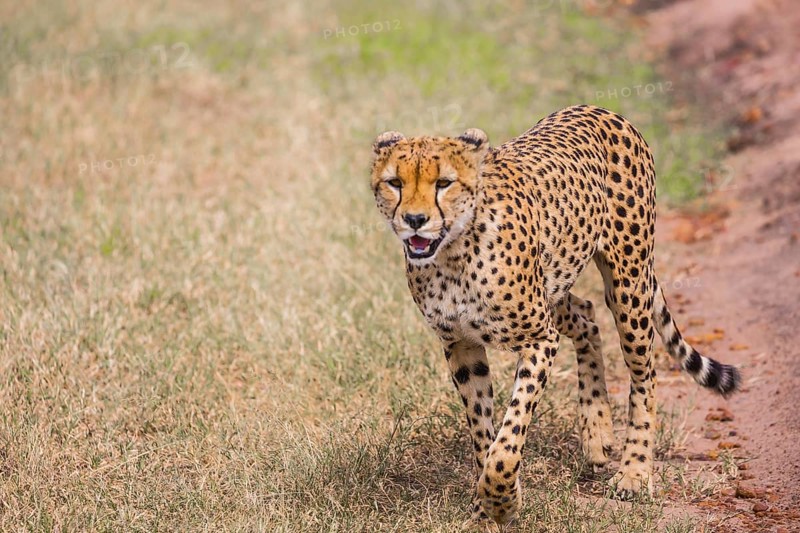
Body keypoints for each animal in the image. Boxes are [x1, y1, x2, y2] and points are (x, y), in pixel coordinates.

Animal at [369, 104, 741, 529]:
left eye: (444, 183)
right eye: (395, 182)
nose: (414, 220)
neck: (452, 254)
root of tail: (599, 109)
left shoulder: (538, 338)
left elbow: (509, 435)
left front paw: (501, 502)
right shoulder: (460, 345)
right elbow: (483, 431)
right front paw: (486, 506)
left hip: (627, 283)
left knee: (644, 374)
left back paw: (634, 471)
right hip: (555, 286)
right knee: (587, 315)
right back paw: (597, 432)